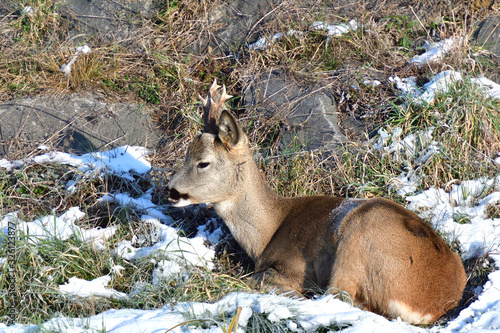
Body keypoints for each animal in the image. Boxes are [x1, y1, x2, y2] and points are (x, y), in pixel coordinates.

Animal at [168, 80, 464, 322]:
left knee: (338, 297)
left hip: (359, 237)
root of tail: (429, 304)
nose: (171, 190)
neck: (268, 231)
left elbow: (256, 278)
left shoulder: (292, 266)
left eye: (203, 162)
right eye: (186, 155)